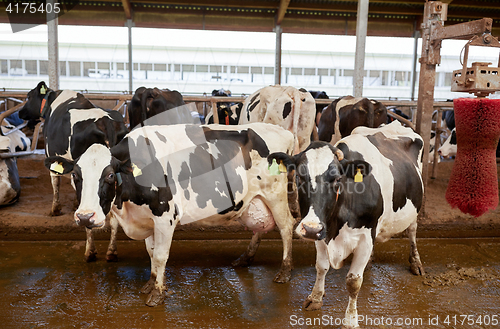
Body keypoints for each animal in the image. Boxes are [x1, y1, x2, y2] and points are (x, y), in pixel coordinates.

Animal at [18, 81, 129, 262]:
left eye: (28, 96)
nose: (20, 112)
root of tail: (105, 121)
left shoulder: (51, 156)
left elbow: (55, 183)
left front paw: (55, 209)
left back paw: (90, 251)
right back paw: (111, 252)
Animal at [44, 121, 296, 306]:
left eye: (109, 175)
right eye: (75, 175)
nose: (85, 217)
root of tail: (282, 130)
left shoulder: (165, 216)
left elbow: (160, 255)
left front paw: (157, 293)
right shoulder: (146, 218)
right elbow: (150, 251)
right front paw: (152, 282)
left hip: (275, 195)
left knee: (286, 226)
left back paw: (285, 271)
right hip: (255, 199)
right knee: (260, 226)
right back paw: (246, 258)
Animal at [270, 121, 426, 326]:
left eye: (337, 179)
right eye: (299, 177)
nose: (310, 229)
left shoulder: (365, 237)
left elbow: (353, 281)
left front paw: (350, 321)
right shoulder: (322, 231)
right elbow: (321, 266)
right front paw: (315, 297)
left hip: (415, 208)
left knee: (413, 231)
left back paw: (416, 262)